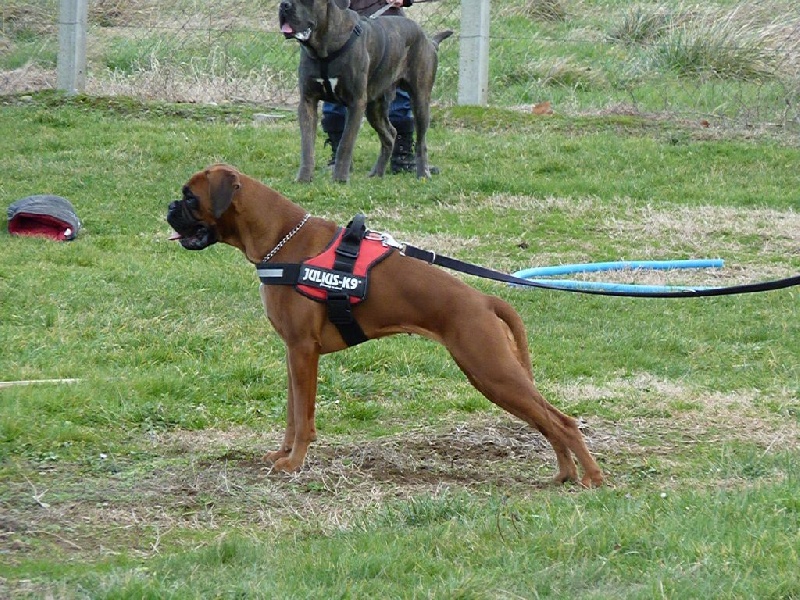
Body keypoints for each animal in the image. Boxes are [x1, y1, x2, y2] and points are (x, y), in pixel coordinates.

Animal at [169, 164, 604, 488]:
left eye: (190, 197)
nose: (169, 206)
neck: (281, 238)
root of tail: (483, 299)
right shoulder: (293, 353)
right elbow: (293, 413)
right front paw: (283, 454)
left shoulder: (304, 351)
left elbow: (304, 417)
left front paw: (294, 464)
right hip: (495, 376)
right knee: (548, 421)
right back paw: (565, 474)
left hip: (492, 372)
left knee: (562, 422)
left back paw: (593, 478)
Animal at [280, 0, 450, 180]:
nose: (284, 5)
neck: (323, 48)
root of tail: (428, 39)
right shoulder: (307, 101)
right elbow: (307, 144)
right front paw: (304, 178)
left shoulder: (356, 103)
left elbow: (345, 144)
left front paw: (339, 179)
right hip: (374, 107)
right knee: (390, 134)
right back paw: (377, 173)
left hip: (420, 100)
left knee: (421, 141)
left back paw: (423, 173)